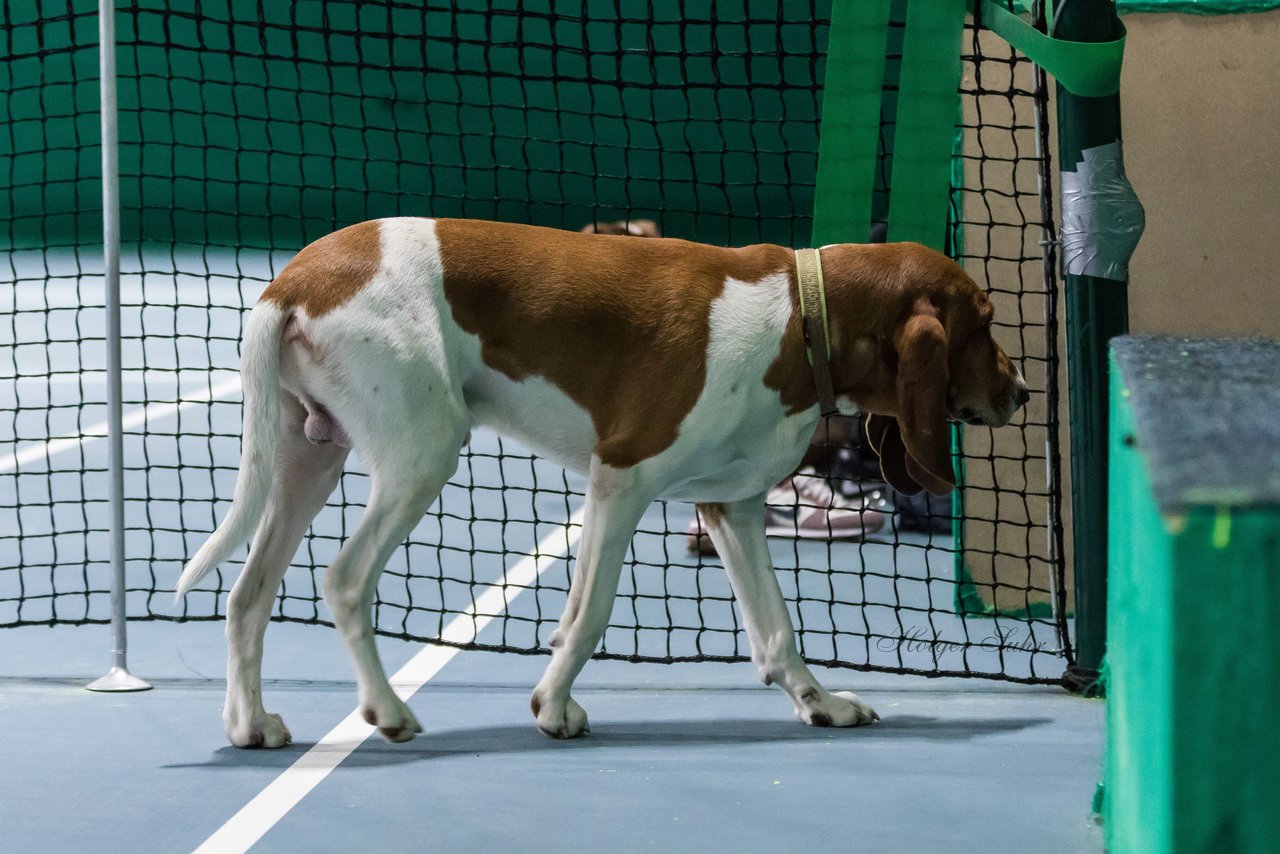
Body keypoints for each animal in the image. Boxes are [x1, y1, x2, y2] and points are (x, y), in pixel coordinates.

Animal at [175, 218, 1024, 747]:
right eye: (984, 322)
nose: (1020, 393)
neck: (802, 316)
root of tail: (294, 279)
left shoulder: (732, 507)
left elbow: (777, 630)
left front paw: (820, 704)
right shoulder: (623, 480)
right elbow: (589, 616)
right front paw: (552, 707)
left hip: (306, 460)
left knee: (247, 594)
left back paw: (249, 725)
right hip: (419, 456)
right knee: (346, 580)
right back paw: (386, 710)